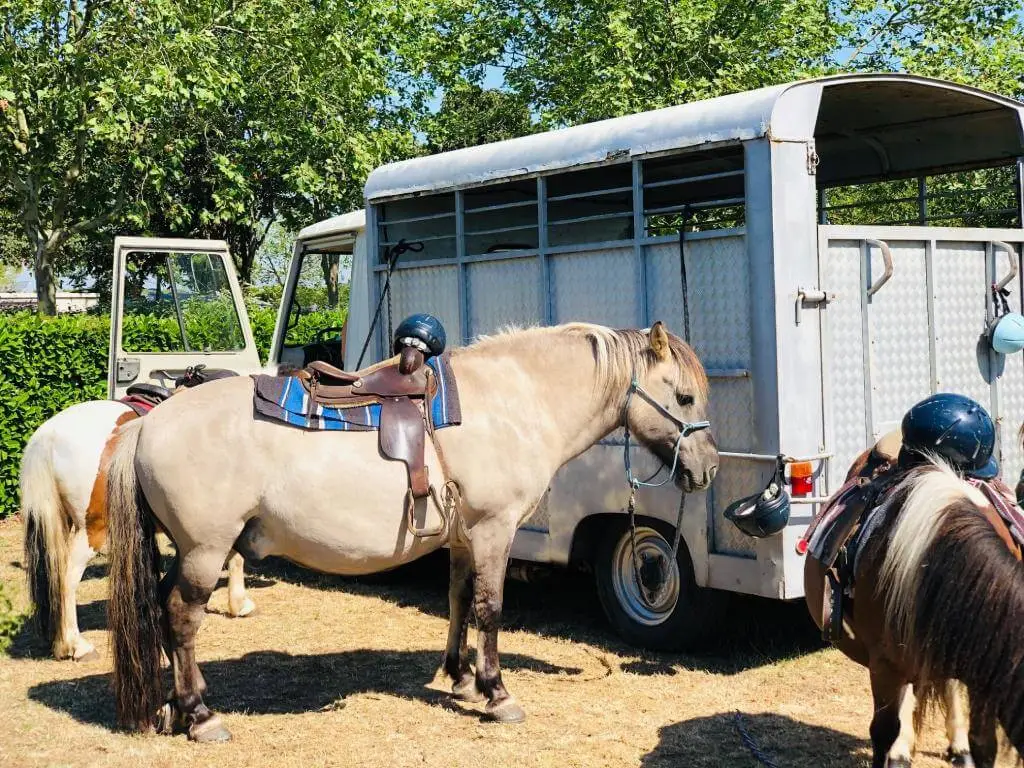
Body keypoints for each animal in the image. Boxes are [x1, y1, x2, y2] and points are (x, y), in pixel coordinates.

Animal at [20, 397, 254, 663]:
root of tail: (48, 435)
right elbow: (237, 557)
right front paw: (240, 603)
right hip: (92, 530)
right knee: (66, 580)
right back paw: (77, 645)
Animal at [99, 321, 716, 741]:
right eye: (683, 397)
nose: (708, 468)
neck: (514, 403)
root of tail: (148, 424)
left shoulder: (465, 537)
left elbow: (459, 600)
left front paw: (460, 677)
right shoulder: (494, 530)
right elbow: (491, 608)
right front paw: (496, 692)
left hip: (186, 550)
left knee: (161, 613)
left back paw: (173, 707)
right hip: (205, 549)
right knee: (181, 618)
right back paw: (201, 715)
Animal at [806, 450, 1024, 768]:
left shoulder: (982, 663)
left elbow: (984, 744)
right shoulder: (884, 664)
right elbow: (883, 731)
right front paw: (895, 751)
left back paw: (958, 748)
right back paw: (902, 751)